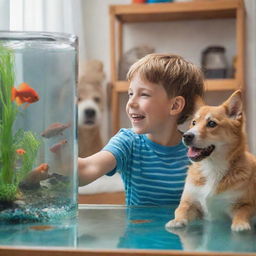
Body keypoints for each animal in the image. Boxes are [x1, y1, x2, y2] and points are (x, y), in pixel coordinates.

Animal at [165, 90, 256, 232]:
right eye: (194, 122)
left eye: (212, 124)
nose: (186, 136)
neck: (213, 167)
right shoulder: (190, 202)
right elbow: (181, 210)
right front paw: (177, 221)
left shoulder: (244, 204)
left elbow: (243, 212)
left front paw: (240, 224)